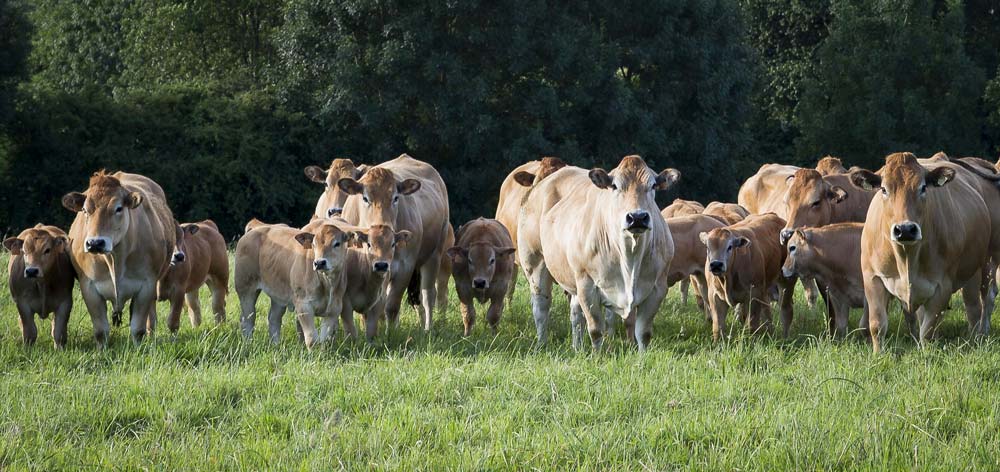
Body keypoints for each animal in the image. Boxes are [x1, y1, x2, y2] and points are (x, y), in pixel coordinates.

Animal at [62, 171, 176, 344]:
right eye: (85, 210)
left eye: (118, 208)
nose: (95, 243)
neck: (115, 259)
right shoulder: (88, 286)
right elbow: (101, 331)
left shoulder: (147, 285)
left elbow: (138, 329)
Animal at [332, 155, 450, 332]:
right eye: (365, 198)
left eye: (396, 197)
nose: (382, 225)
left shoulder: (404, 267)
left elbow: (391, 306)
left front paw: (391, 333)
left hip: (434, 254)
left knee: (428, 295)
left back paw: (427, 328)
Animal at [520, 155, 676, 350]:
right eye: (615, 186)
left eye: (653, 185)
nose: (637, 217)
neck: (630, 256)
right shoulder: (587, 285)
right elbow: (595, 330)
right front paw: (597, 354)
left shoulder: (658, 288)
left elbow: (644, 334)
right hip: (535, 263)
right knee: (541, 308)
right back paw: (542, 344)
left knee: (575, 314)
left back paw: (577, 347)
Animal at [848, 153, 1000, 352]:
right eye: (883, 189)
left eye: (923, 187)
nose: (905, 229)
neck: (906, 257)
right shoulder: (872, 278)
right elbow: (877, 325)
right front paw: (878, 354)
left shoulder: (942, 285)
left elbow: (927, 331)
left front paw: (926, 354)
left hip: (987, 261)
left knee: (981, 302)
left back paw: (979, 335)